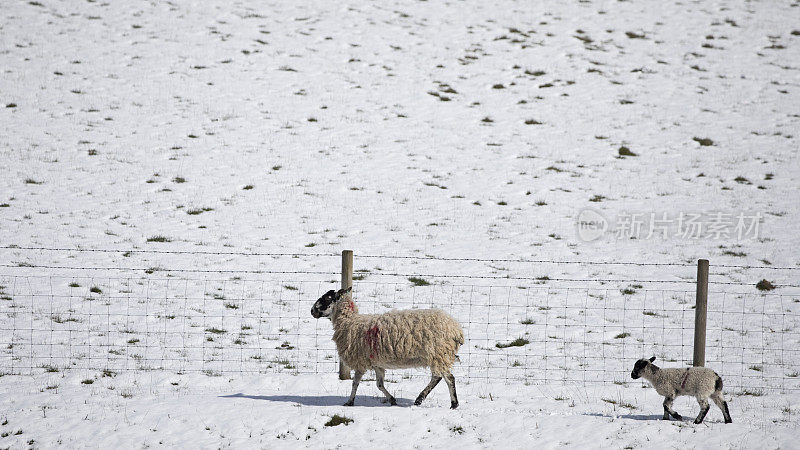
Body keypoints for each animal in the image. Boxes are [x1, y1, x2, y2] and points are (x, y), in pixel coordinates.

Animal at [310, 286, 466, 410]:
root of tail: (456, 329)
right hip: (440, 356)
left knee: (448, 378)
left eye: (327, 298)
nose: (312, 311)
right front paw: (392, 400)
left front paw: (349, 402)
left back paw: (449, 403)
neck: (348, 321)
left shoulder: (361, 361)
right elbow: (379, 385)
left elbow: (355, 383)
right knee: (438, 377)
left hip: (439, 354)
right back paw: (424, 400)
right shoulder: (377, 363)